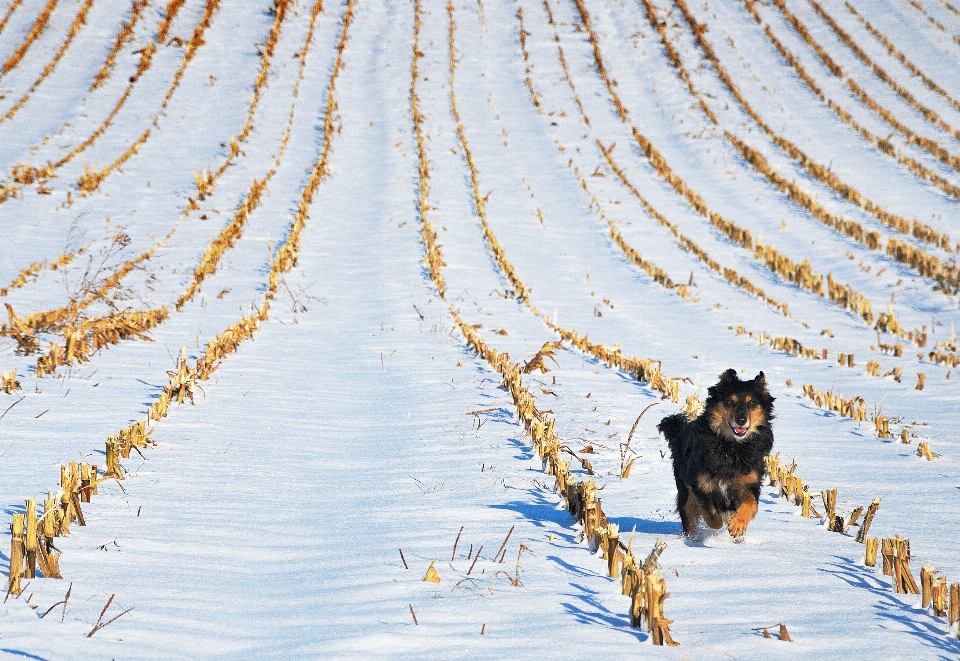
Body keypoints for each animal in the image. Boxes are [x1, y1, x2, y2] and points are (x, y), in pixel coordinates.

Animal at [656, 368, 776, 540]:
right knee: (689, 516)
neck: (731, 447)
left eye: (752, 403)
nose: (741, 420)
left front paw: (737, 525)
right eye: (730, 402)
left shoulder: (749, 483)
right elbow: (710, 511)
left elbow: (750, 503)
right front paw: (718, 524)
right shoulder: (700, 483)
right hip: (684, 492)